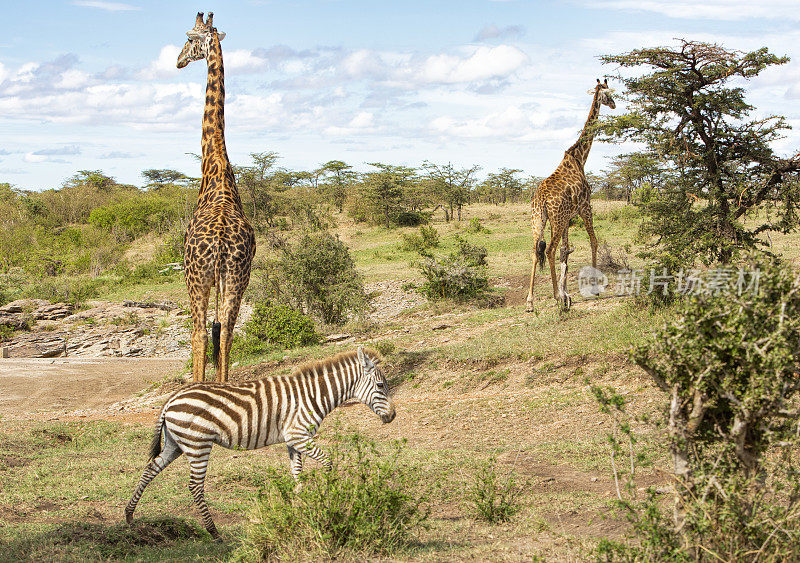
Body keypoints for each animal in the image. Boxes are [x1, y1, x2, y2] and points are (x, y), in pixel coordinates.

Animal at [126, 346, 396, 540]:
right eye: (381, 385)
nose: (393, 417)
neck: (314, 395)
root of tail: (172, 398)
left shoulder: (293, 440)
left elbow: (297, 474)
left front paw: (299, 508)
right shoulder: (299, 435)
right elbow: (328, 462)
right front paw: (329, 496)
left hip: (176, 444)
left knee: (150, 469)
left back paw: (129, 515)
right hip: (198, 444)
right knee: (194, 486)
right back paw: (214, 533)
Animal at [528, 78, 616, 312]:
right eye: (608, 94)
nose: (614, 104)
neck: (579, 157)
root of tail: (541, 198)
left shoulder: (568, 217)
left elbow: (565, 251)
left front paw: (566, 292)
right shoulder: (585, 206)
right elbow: (593, 241)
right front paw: (593, 287)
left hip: (538, 220)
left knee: (535, 251)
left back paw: (530, 302)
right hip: (556, 219)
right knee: (548, 250)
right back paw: (555, 297)